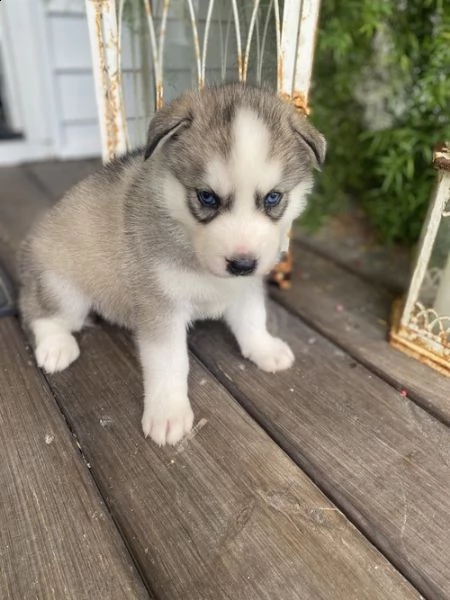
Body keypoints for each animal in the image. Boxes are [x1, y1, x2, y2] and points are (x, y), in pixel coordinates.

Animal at [19, 82, 326, 442]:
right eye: (206, 197)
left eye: (273, 198)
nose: (241, 264)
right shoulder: (160, 305)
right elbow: (169, 362)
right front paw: (168, 412)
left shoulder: (245, 288)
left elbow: (253, 319)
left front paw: (265, 349)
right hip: (64, 288)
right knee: (40, 314)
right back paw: (56, 346)